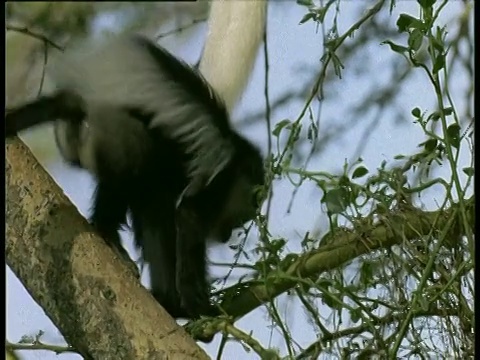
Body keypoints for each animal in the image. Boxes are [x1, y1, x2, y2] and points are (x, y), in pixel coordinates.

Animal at [4, 2, 266, 318]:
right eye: (240, 218)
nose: (228, 235)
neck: (235, 152)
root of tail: (77, 95)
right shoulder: (221, 175)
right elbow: (189, 214)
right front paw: (200, 305)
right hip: (107, 129)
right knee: (137, 165)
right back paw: (110, 235)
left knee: (152, 201)